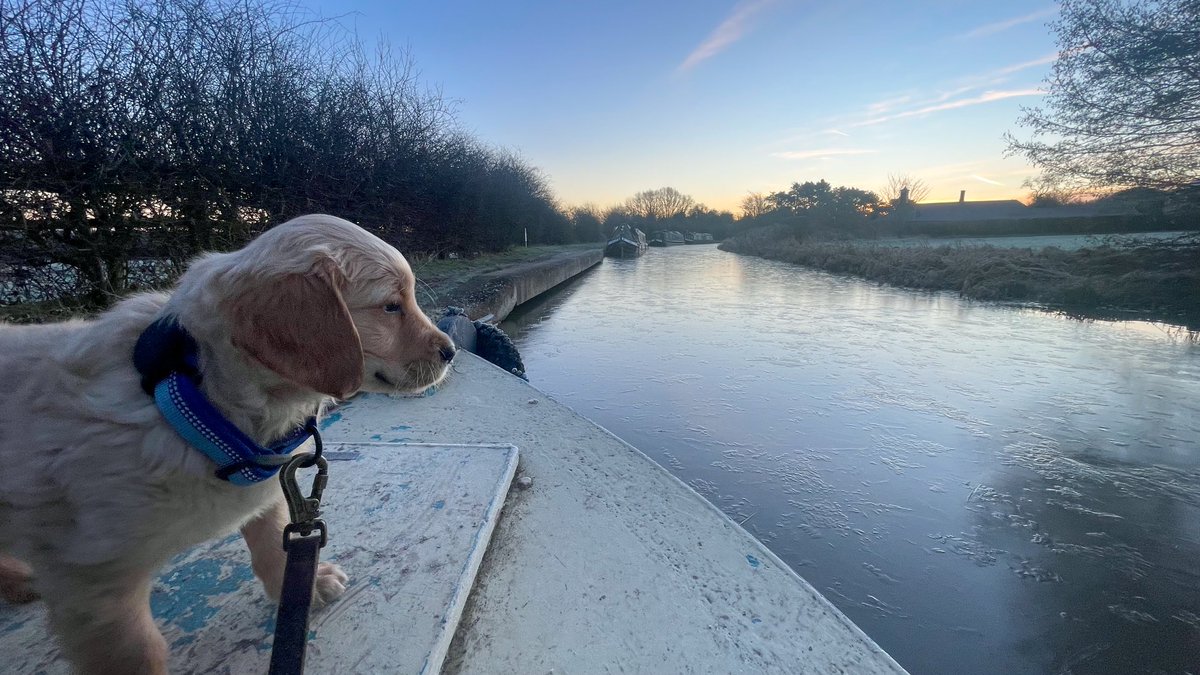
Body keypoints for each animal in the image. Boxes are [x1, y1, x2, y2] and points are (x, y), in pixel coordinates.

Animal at [0, 214, 456, 672]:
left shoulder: (268, 483)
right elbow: (138, 652)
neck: (191, 391)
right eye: (391, 306)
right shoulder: (94, 580)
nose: (451, 351)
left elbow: (273, 537)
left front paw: (303, 586)